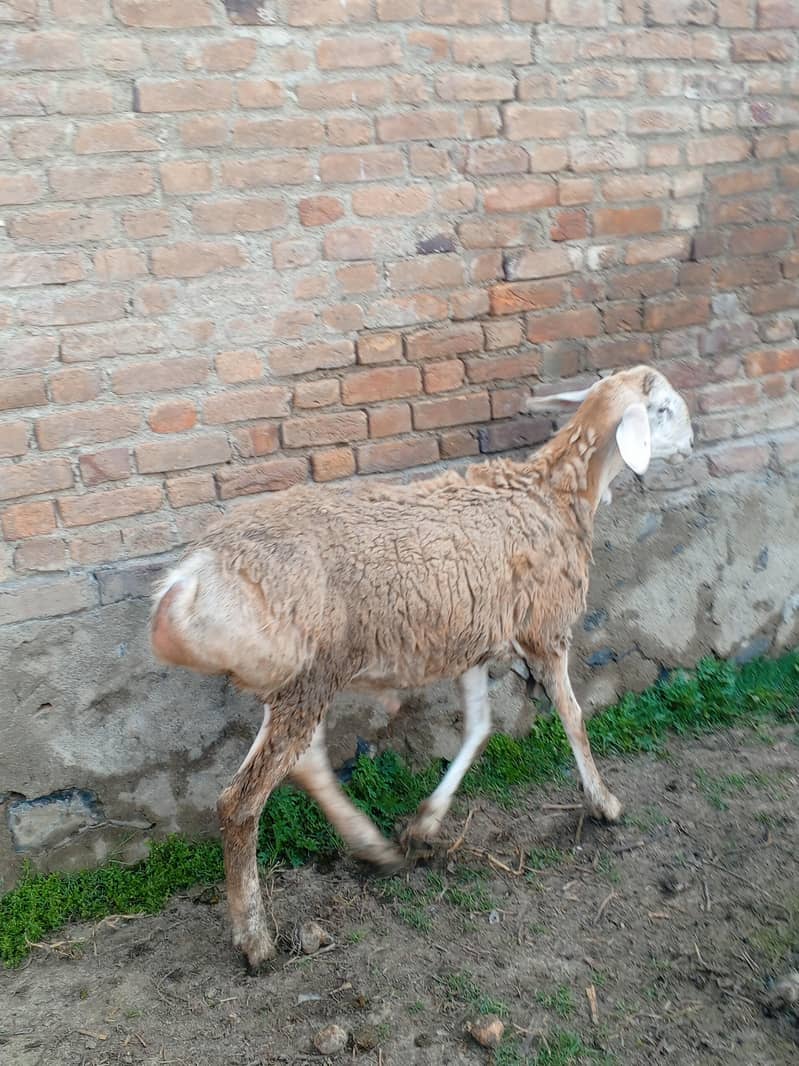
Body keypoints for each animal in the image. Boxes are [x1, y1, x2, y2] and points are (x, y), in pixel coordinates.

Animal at [150, 363, 694, 969]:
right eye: (664, 409)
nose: (693, 440)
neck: (557, 493)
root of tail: (189, 580)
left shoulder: (473, 641)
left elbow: (479, 728)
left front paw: (426, 823)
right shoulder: (546, 630)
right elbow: (574, 718)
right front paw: (604, 803)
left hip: (300, 678)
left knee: (305, 762)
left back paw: (375, 848)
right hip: (304, 676)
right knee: (240, 801)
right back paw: (254, 937)